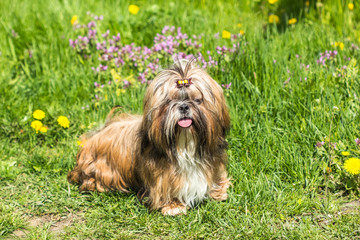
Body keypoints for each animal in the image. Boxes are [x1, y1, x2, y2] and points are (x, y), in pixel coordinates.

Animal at [67, 60, 231, 216]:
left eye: (197, 100)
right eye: (169, 101)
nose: (184, 106)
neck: (185, 147)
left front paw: (218, 191)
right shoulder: (162, 178)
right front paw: (174, 205)